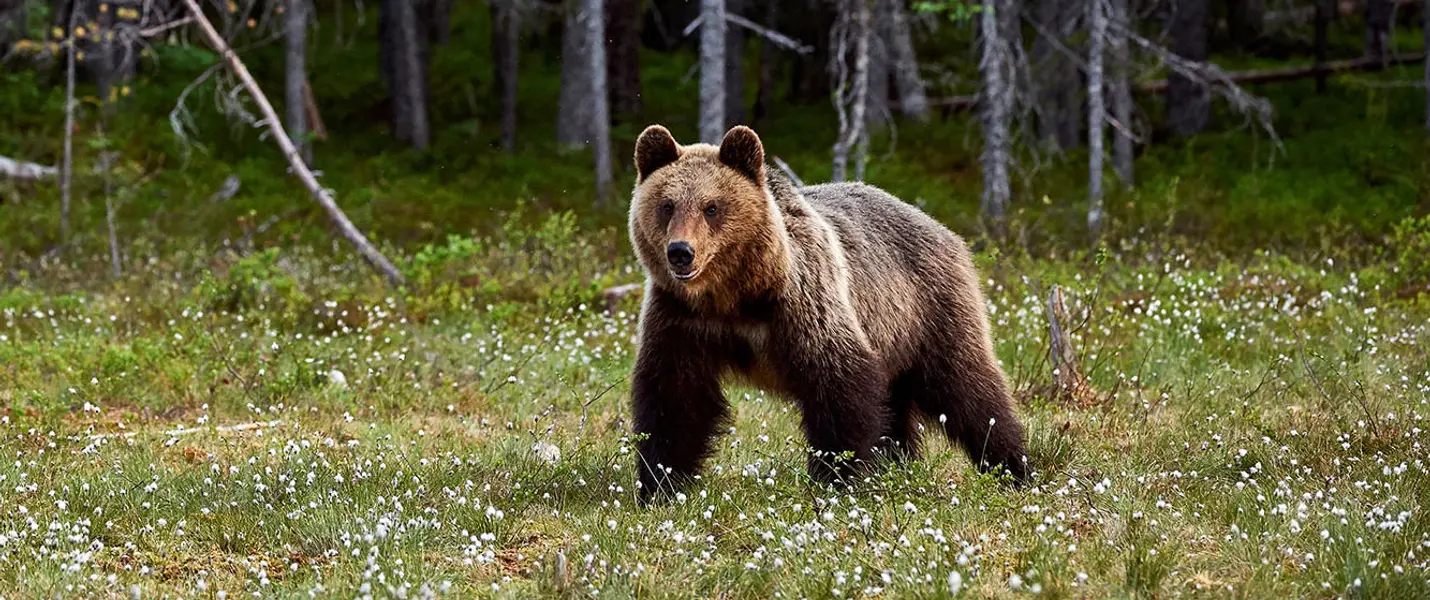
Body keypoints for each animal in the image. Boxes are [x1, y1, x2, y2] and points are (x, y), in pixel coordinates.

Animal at [632, 124, 1023, 500]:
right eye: (667, 205)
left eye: (712, 207)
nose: (681, 252)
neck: (734, 296)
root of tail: (937, 225)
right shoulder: (682, 319)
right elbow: (674, 397)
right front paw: (660, 483)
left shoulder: (804, 304)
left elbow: (838, 385)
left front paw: (834, 477)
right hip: (891, 336)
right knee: (897, 406)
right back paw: (899, 464)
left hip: (930, 308)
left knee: (965, 386)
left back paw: (1012, 466)